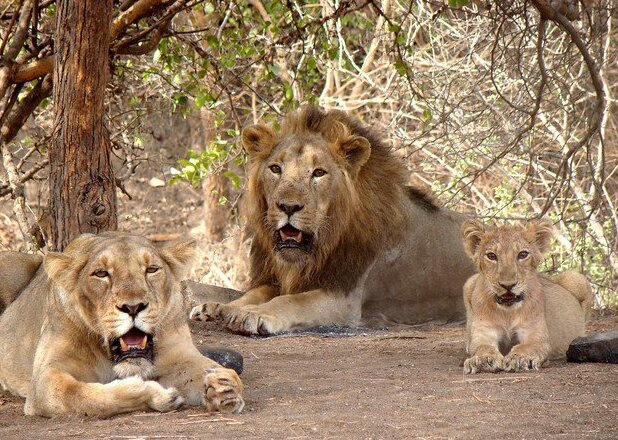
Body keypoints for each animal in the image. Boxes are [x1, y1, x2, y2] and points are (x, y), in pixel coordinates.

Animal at [0, 232, 245, 418]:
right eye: (101, 274)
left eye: (151, 269)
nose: (134, 307)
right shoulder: (45, 378)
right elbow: (85, 397)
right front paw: (155, 394)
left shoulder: (179, 355)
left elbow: (211, 369)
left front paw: (224, 386)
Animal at [190, 105, 474, 336]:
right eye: (275, 169)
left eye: (318, 173)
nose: (288, 206)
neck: (322, 246)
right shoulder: (279, 279)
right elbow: (253, 293)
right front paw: (217, 307)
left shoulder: (344, 298)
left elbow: (291, 301)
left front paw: (252, 314)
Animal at [460, 220, 588, 374]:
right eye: (491, 256)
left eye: (522, 254)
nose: (508, 285)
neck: (507, 313)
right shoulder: (484, 333)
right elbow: (482, 347)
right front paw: (483, 360)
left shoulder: (536, 336)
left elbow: (526, 346)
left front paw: (520, 359)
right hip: (469, 283)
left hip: (576, 278)